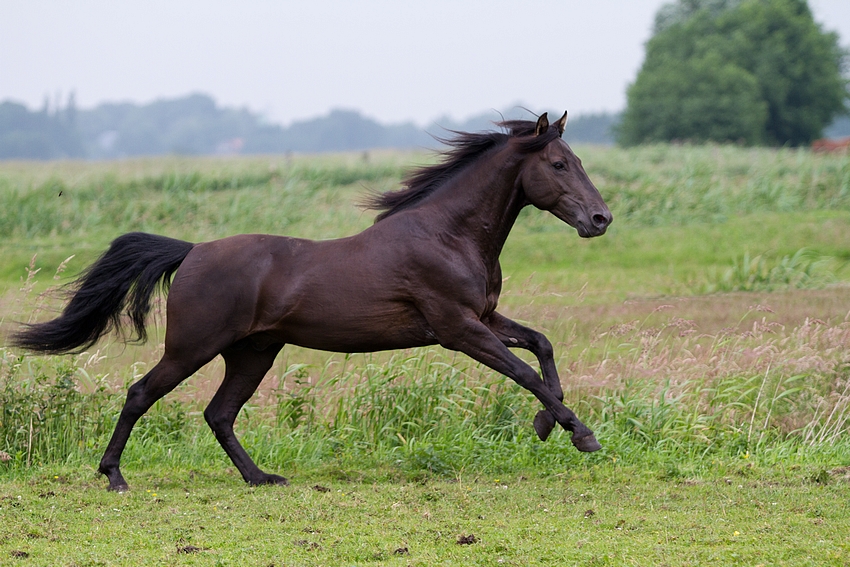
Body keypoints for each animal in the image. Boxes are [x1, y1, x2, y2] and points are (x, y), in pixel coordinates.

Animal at [11, 112, 608, 492]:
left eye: (575, 160)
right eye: (559, 164)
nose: (600, 219)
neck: (448, 234)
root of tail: (192, 251)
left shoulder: (484, 317)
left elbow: (542, 346)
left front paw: (549, 424)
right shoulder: (459, 329)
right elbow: (523, 371)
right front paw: (581, 434)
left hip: (252, 352)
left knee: (219, 413)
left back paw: (260, 478)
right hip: (191, 348)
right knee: (141, 394)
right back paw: (114, 476)